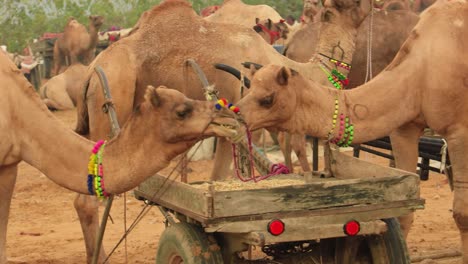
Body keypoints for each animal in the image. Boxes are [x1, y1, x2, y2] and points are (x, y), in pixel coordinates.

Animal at [236, 0, 468, 262]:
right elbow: (404, 211)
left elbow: (462, 214)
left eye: (267, 99)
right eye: (250, 88)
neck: (423, 67)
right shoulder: (404, 128)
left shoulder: (459, 131)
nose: (237, 113)